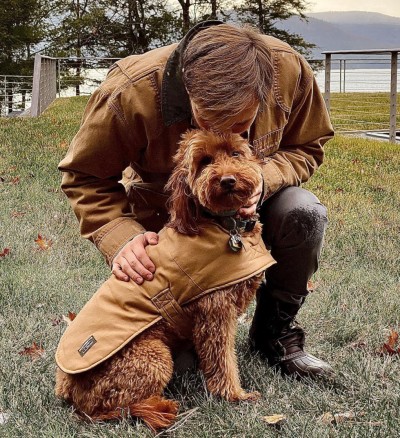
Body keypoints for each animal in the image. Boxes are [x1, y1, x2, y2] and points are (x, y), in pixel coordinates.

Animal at [55, 129, 268, 432]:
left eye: (236, 153)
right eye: (204, 161)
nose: (227, 179)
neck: (222, 225)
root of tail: (67, 388)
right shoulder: (216, 313)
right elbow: (223, 361)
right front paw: (235, 395)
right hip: (154, 355)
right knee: (109, 411)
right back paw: (159, 409)